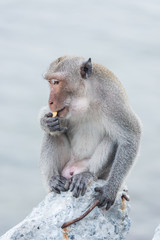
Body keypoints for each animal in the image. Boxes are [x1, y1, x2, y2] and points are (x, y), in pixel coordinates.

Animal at [39, 55, 141, 209]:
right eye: (50, 82)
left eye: (56, 82)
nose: (50, 101)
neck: (86, 97)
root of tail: (73, 168)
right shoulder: (62, 111)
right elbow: (51, 120)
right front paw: (46, 122)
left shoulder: (113, 100)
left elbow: (131, 136)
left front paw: (110, 190)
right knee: (53, 134)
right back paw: (53, 180)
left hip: (90, 168)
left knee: (113, 138)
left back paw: (88, 176)